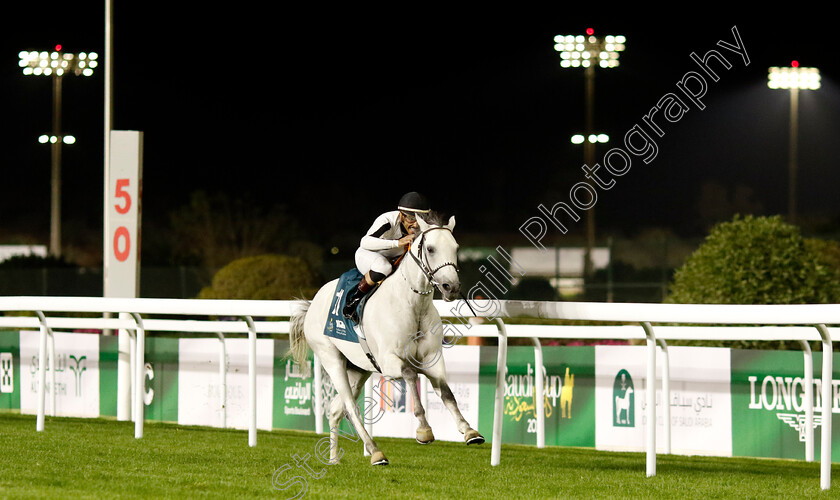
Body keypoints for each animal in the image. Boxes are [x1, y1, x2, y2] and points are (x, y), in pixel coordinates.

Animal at [290, 211, 482, 464]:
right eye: (430, 248)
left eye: (456, 247)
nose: (451, 287)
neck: (413, 306)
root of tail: (313, 303)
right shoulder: (389, 361)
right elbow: (410, 375)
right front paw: (424, 430)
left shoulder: (432, 359)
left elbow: (447, 392)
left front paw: (469, 431)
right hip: (331, 359)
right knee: (351, 408)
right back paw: (375, 452)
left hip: (358, 369)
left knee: (336, 409)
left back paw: (334, 459)